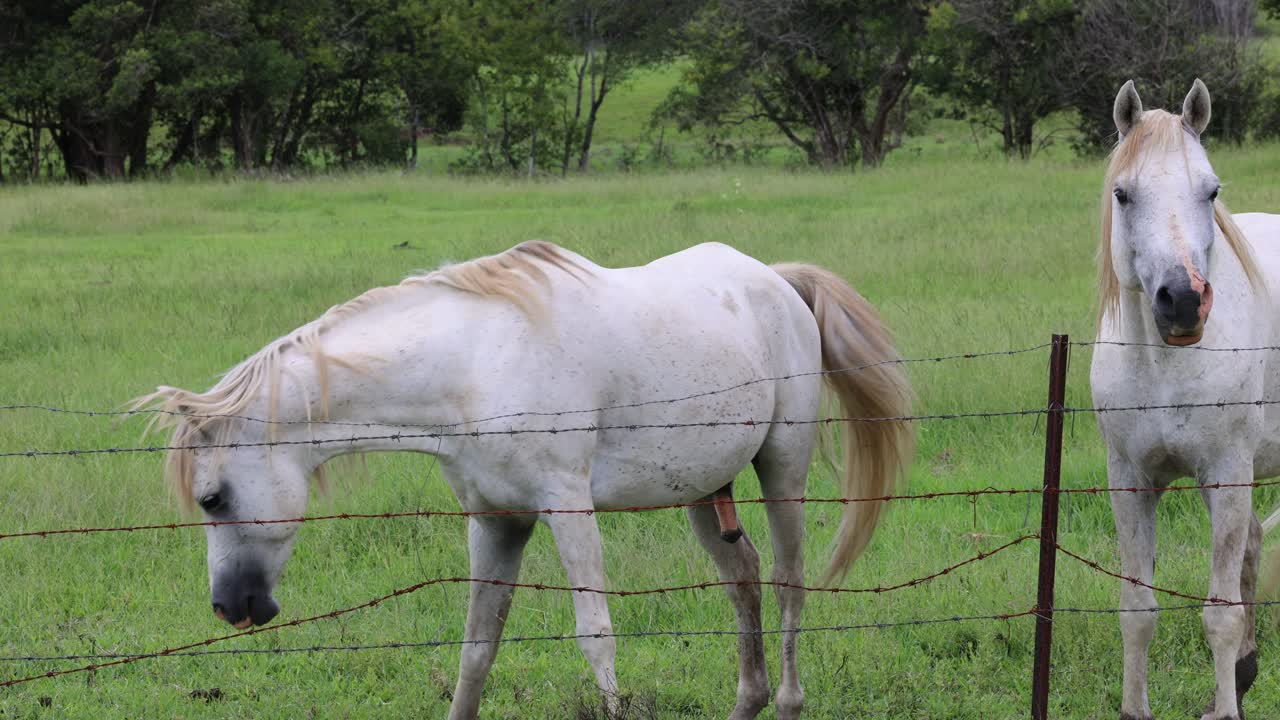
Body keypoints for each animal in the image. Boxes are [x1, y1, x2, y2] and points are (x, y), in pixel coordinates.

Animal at [136, 241, 914, 719]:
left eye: (212, 497)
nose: (230, 608)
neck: (473, 365)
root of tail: (777, 281)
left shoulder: (567, 507)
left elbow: (596, 638)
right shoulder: (496, 522)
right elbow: (476, 649)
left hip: (782, 469)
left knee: (787, 583)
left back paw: (786, 700)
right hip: (702, 490)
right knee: (744, 578)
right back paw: (747, 700)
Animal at [1091, 79, 1280, 720]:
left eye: (1211, 190)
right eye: (1123, 194)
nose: (1183, 301)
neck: (1165, 366)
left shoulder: (1226, 474)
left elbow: (1220, 615)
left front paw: (1225, 711)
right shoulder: (1131, 482)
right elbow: (1137, 611)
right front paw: (1136, 709)